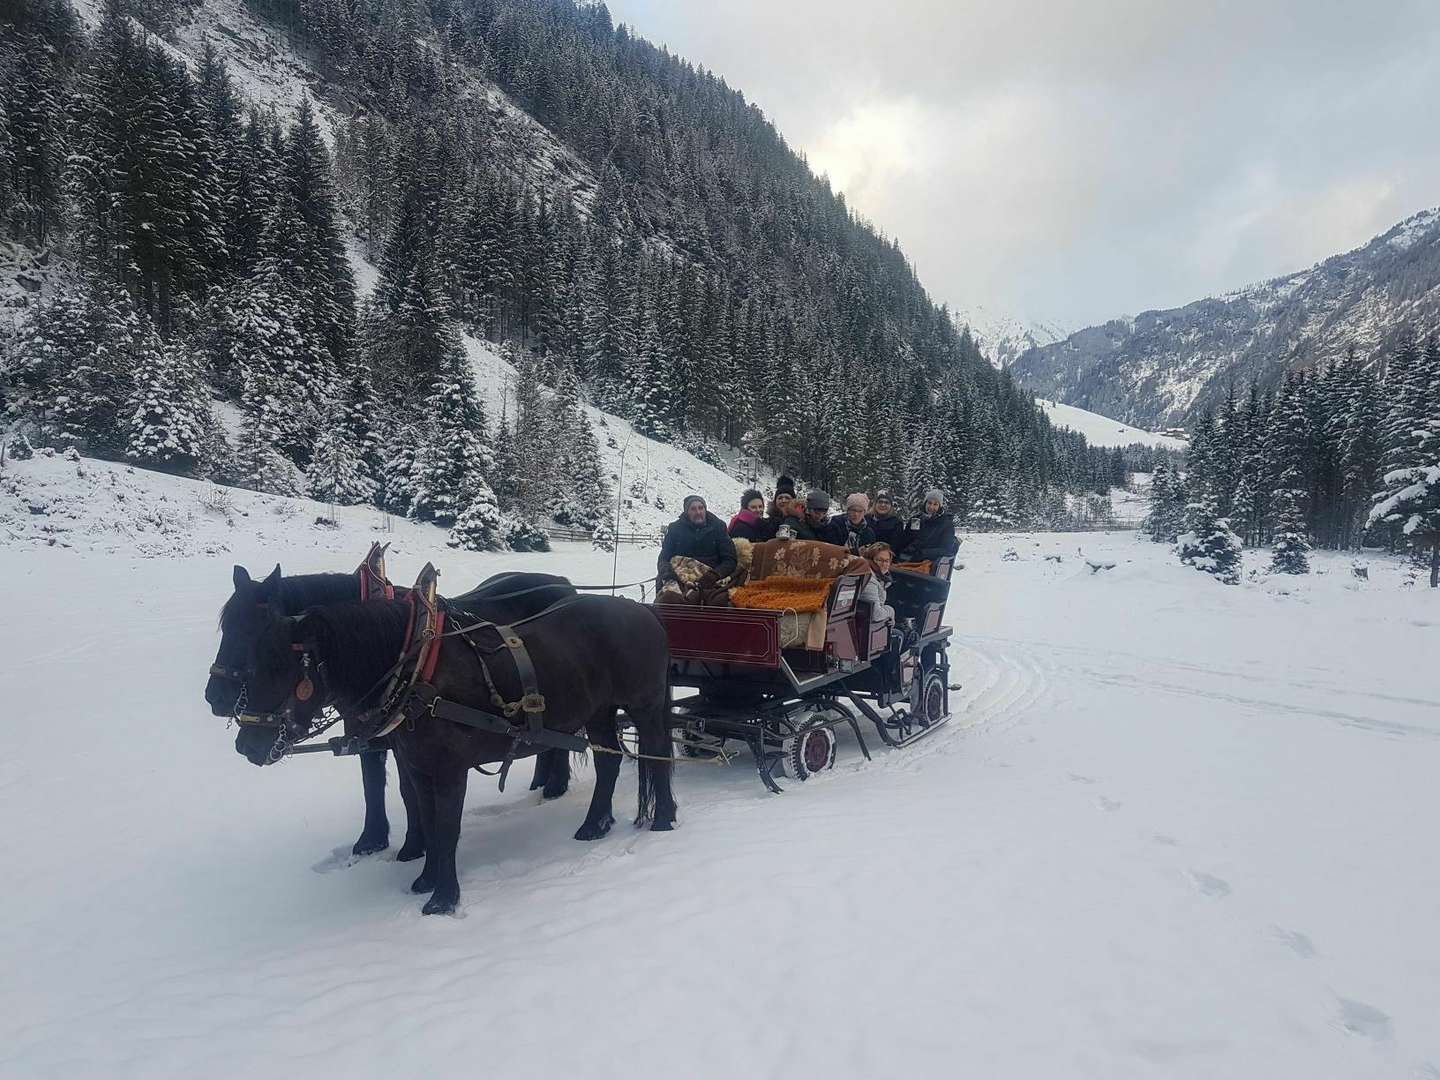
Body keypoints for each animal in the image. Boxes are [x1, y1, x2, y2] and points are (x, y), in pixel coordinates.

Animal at [205, 567, 576, 864]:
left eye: (253, 634)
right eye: (227, 630)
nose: (215, 697)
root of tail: (564, 584)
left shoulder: (402, 740)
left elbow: (406, 790)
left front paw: (414, 845)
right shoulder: (371, 734)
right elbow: (374, 785)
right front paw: (373, 840)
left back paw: (555, 786)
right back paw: (544, 782)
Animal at [237, 593, 679, 915]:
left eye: (282, 668)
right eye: (250, 663)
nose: (246, 745)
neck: (417, 674)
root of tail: (643, 611)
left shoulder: (451, 769)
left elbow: (448, 829)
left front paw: (444, 899)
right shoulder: (419, 768)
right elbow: (429, 823)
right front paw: (426, 880)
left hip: (643, 706)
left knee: (658, 756)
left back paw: (664, 818)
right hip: (600, 713)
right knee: (608, 762)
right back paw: (595, 824)